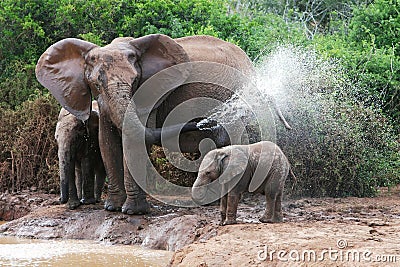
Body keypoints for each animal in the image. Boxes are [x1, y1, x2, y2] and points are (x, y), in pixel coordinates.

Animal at [36, 34, 290, 216]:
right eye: (97, 83)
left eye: (135, 81)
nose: (202, 122)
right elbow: (106, 142)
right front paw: (112, 208)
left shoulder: (151, 94)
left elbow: (134, 141)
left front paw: (132, 212)